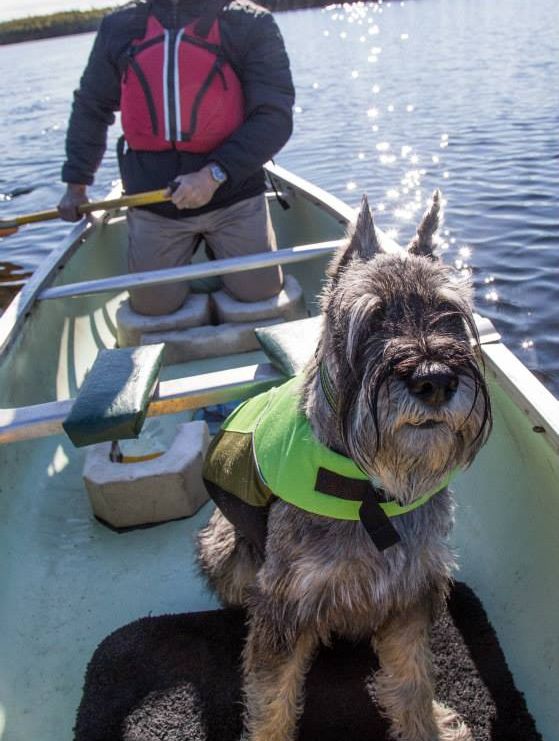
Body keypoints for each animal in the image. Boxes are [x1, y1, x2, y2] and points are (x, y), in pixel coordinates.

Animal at [199, 192, 492, 740]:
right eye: (372, 319)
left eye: (450, 315)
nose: (436, 380)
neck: (369, 493)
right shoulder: (286, 603)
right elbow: (271, 696)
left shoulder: (410, 592)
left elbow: (412, 678)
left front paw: (427, 726)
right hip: (224, 552)